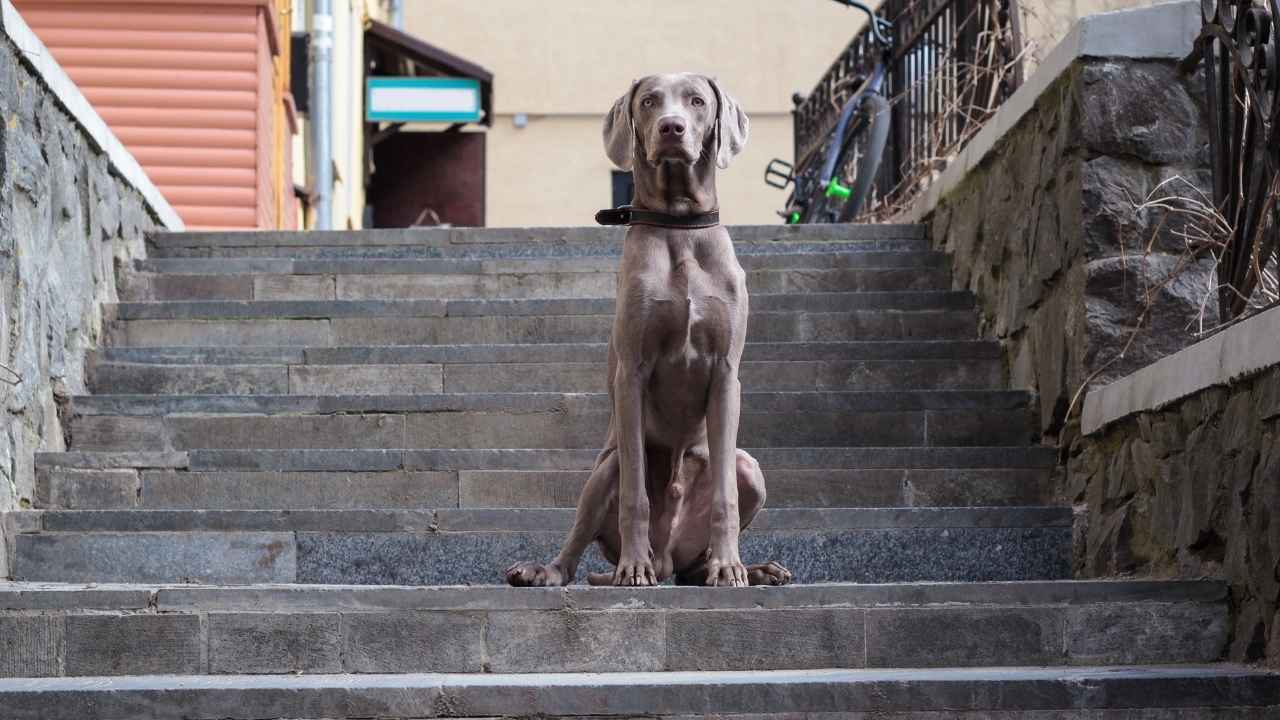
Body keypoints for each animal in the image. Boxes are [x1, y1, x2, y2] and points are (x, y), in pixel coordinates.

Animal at [501, 73, 788, 586]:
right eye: (650, 101)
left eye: (697, 101)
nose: (672, 128)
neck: (679, 227)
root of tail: (668, 556)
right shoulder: (631, 374)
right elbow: (636, 491)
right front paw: (633, 569)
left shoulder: (726, 374)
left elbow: (726, 498)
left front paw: (730, 567)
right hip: (604, 471)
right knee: (576, 545)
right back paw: (547, 571)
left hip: (748, 468)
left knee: (698, 558)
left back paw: (749, 568)